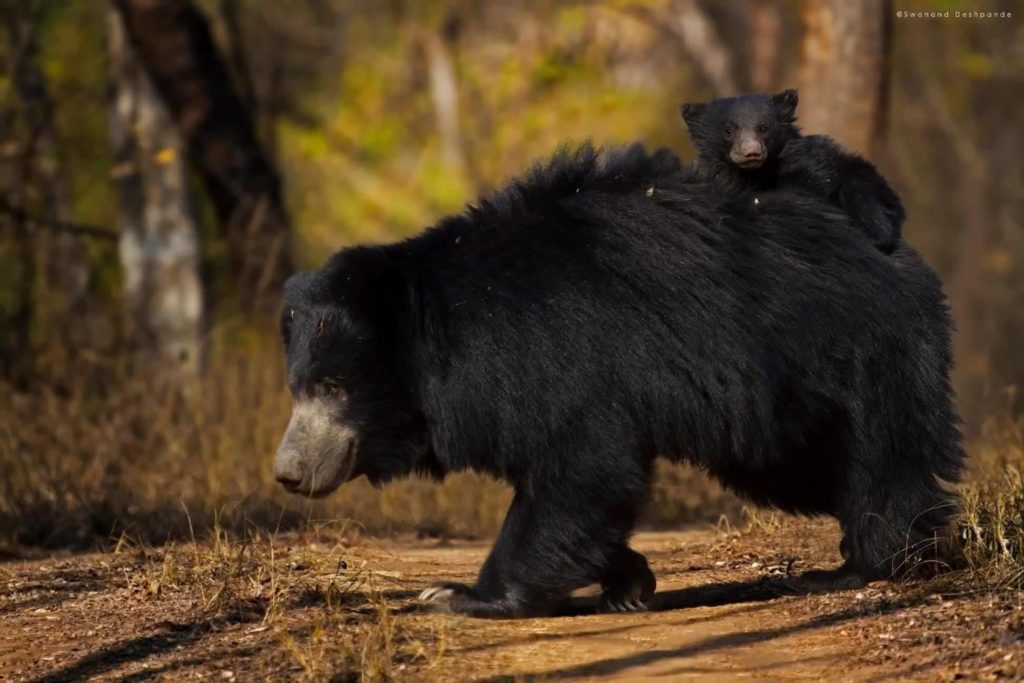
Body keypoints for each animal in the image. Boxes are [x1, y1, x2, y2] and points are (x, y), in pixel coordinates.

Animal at [272, 144, 958, 618]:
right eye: (297, 387)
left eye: (334, 387)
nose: (288, 473)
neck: (449, 339)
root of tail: (891, 245)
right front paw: (629, 581)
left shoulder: (556, 354)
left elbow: (581, 464)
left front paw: (458, 594)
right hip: (790, 412)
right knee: (813, 468)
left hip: (857, 346)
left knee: (881, 455)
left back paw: (871, 563)